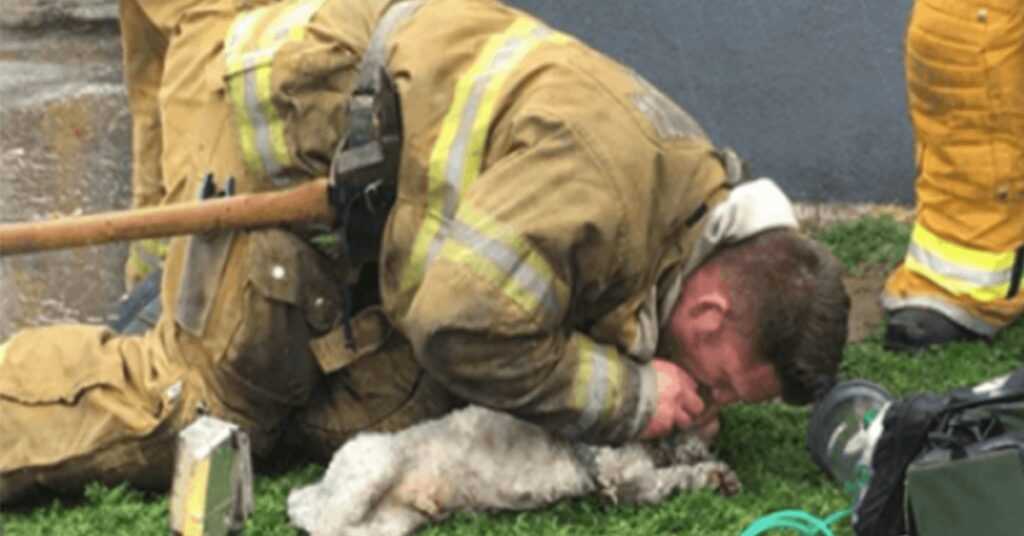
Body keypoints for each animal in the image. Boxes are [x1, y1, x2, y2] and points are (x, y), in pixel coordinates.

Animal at [284, 407, 741, 536]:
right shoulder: (625, 479)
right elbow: (669, 479)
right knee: (319, 519)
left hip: (391, 522)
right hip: (372, 467)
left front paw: (719, 475)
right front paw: (714, 474)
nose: (711, 442)